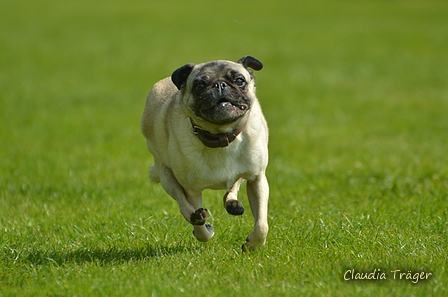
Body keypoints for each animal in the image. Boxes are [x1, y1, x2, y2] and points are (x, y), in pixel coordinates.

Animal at [143, 55, 270, 250]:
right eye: (200, 85)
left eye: (239, 81)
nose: (220, 85)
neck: (221, 136)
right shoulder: (192, 189)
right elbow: (199, 225)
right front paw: (203, 229)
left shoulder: (257, 179)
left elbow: (262, 224)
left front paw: (253, 245)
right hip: (166, 175)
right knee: (183, 205)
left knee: (232, 186)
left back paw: (232, 203)